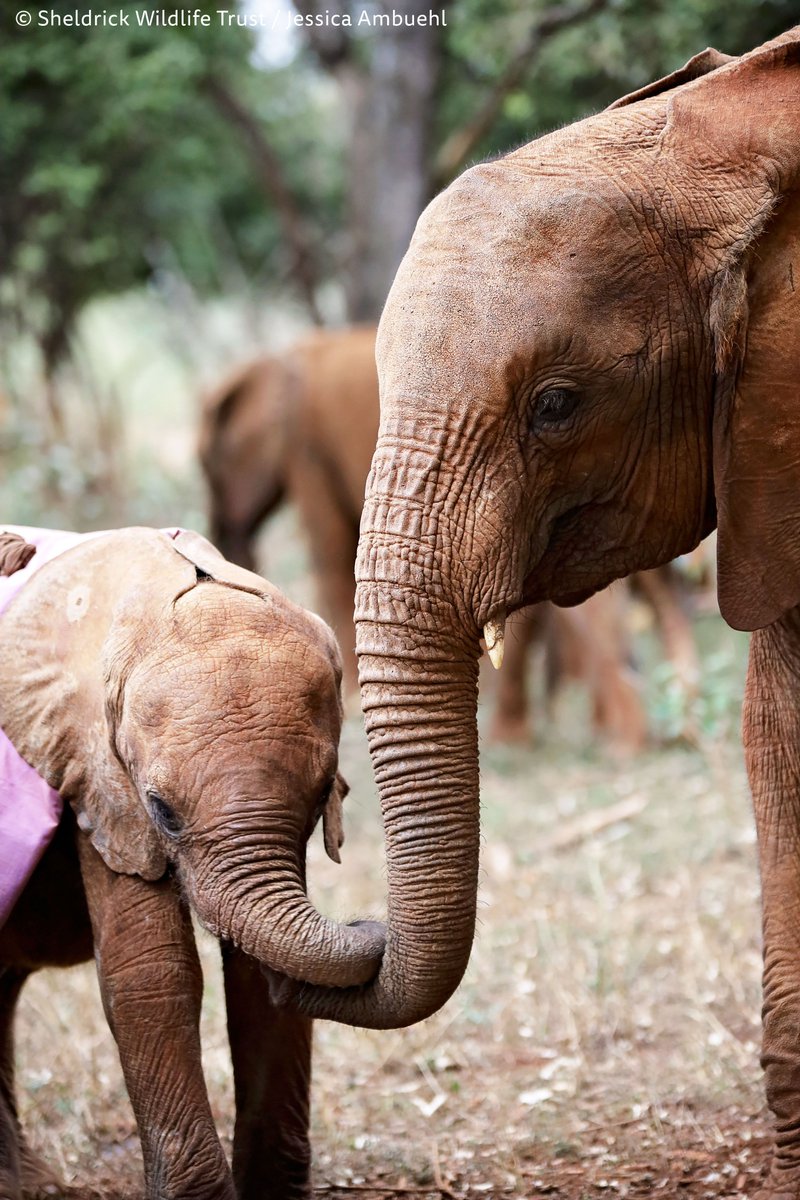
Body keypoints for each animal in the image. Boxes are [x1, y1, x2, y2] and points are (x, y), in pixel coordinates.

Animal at [0, 525, 383, 1200]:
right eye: (161, 810)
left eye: (321, 799)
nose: (371, 924)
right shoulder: (95, 769)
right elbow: (154, 972)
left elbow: (255, 978)